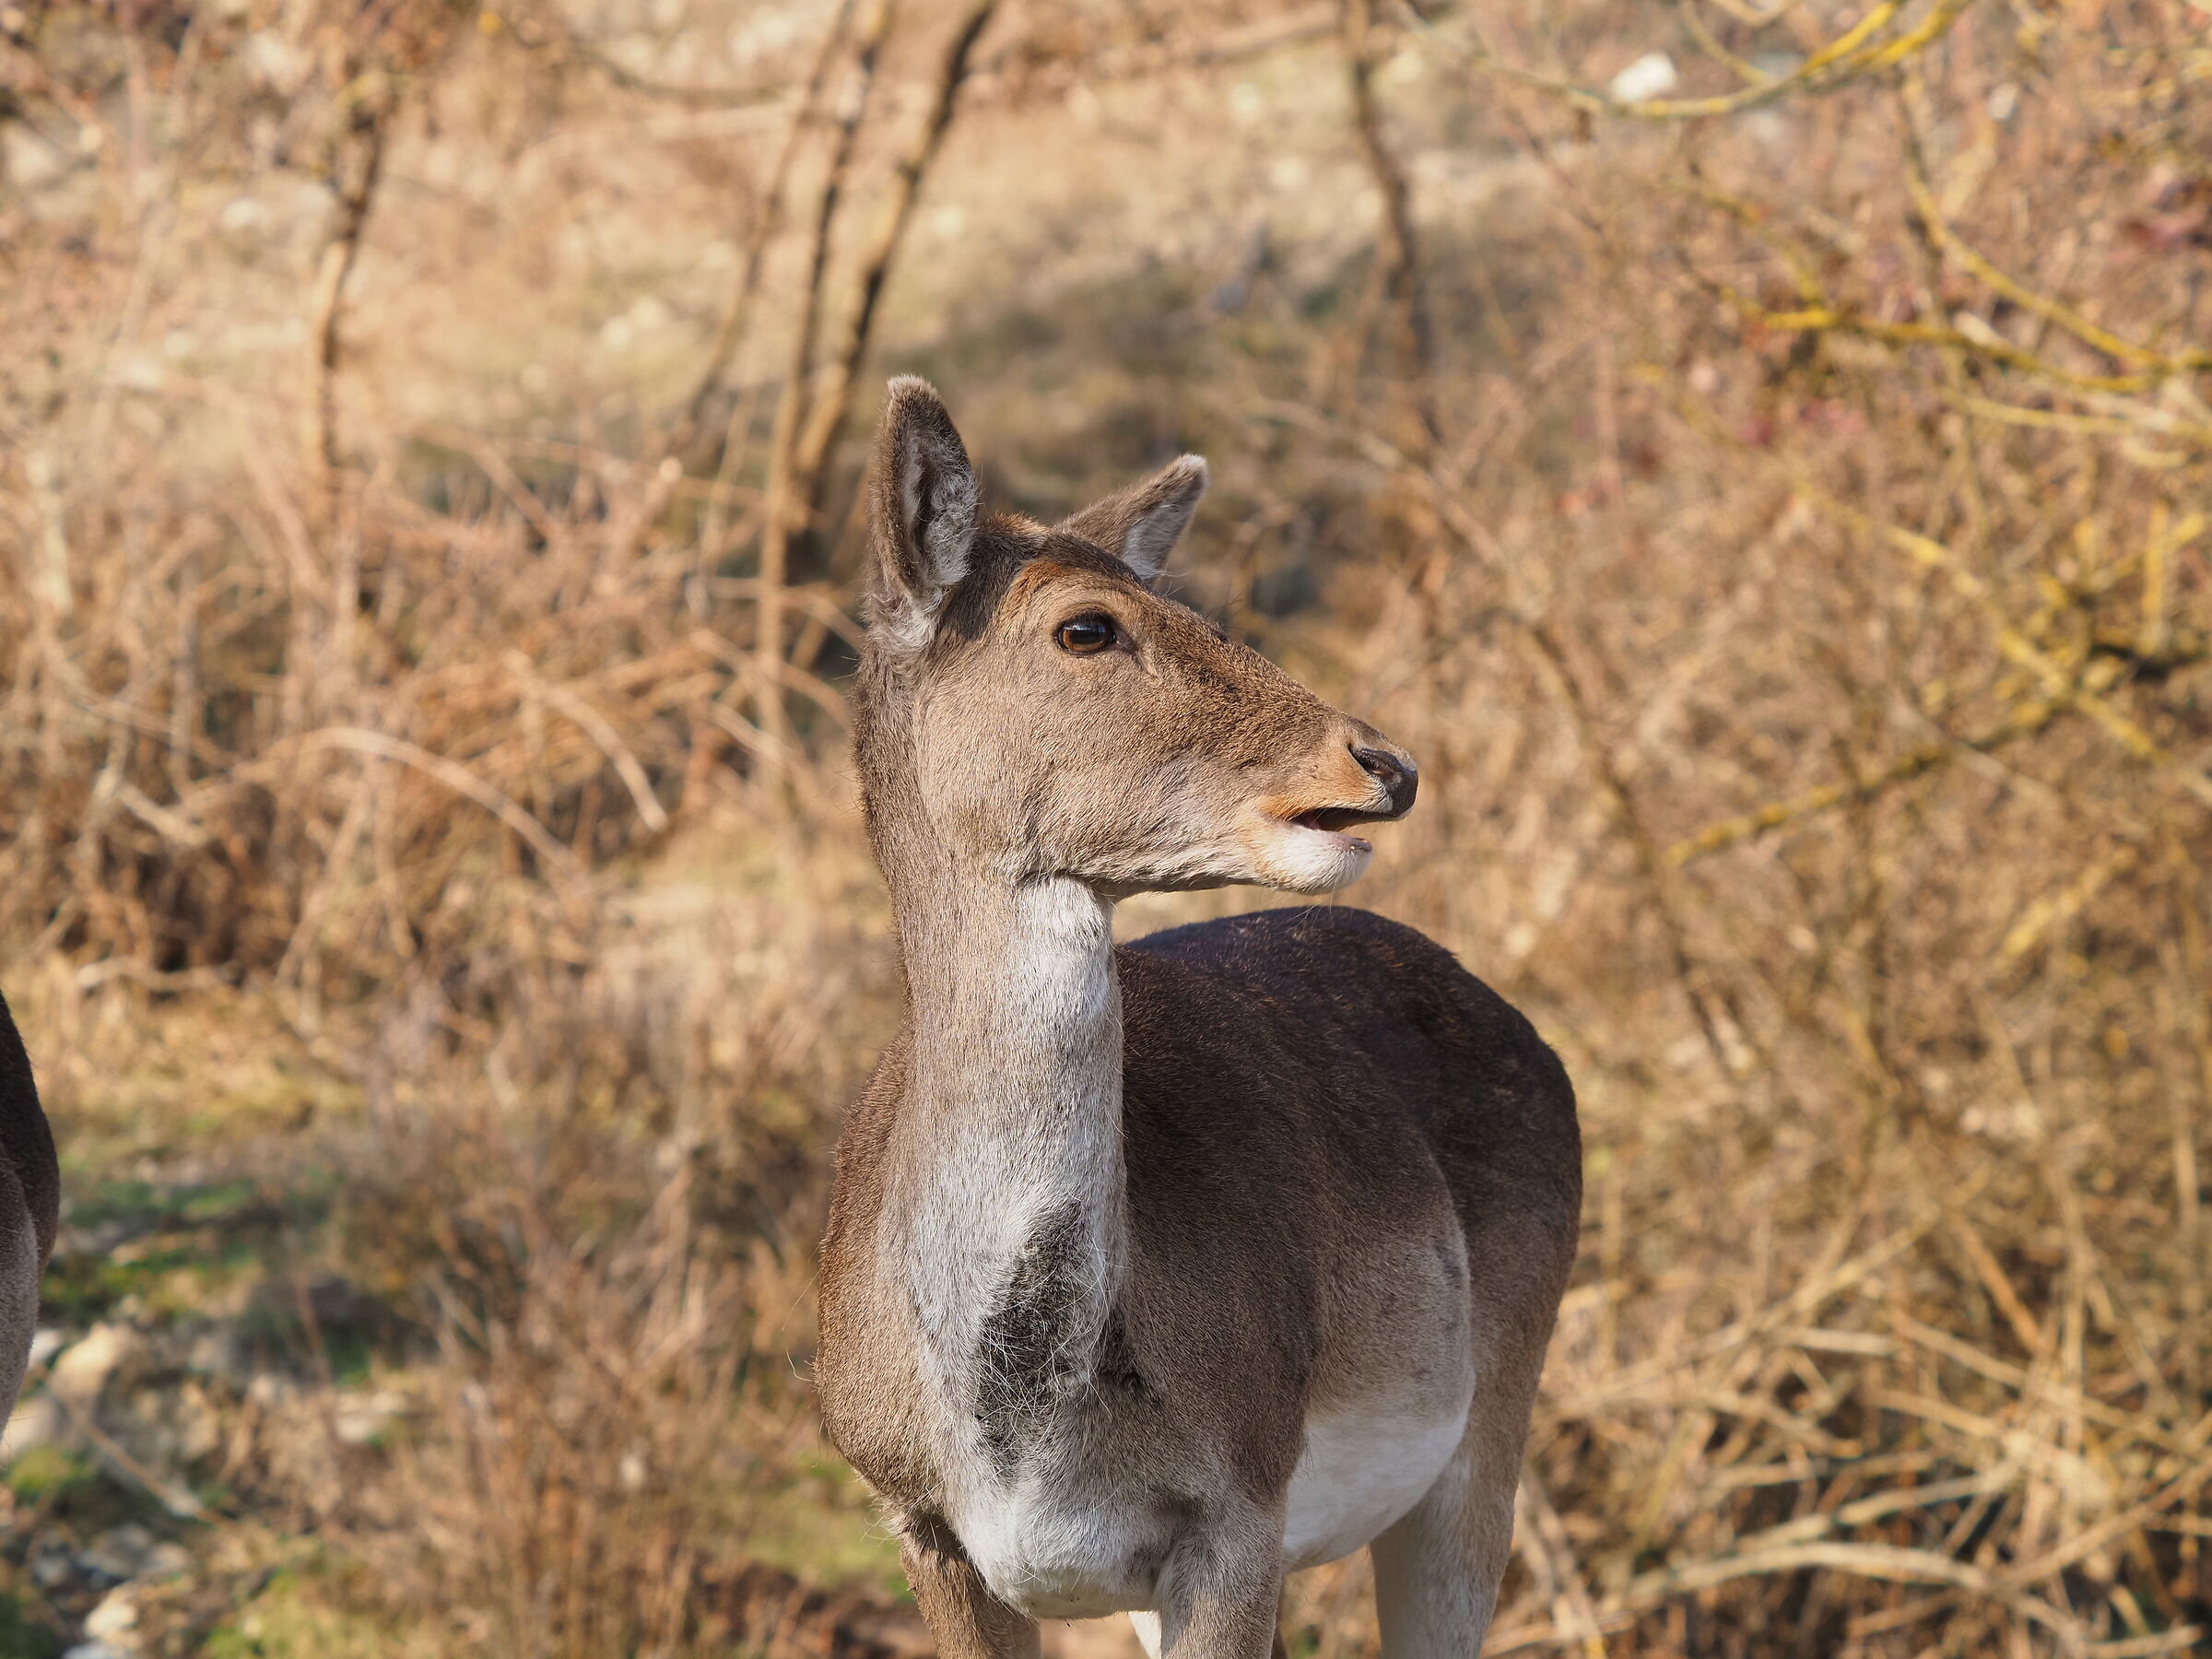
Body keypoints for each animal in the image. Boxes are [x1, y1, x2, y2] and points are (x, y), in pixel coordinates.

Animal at [815, 379, 1581, 1659]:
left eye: (1177, 596)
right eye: (1085, 627)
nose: (1381, 764)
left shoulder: (1242, 1499)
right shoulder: (914, 1518)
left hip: (1493, 1416)